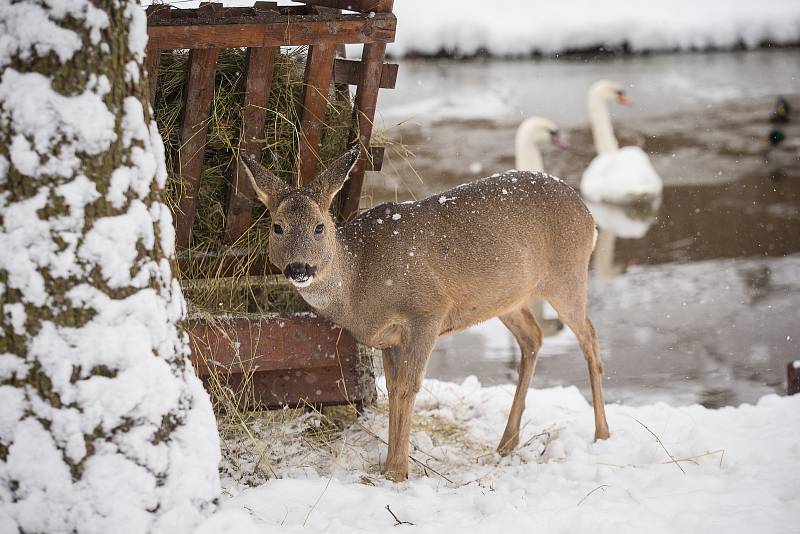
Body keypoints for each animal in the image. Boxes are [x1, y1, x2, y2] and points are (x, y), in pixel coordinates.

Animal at [241, 148, 608, 486]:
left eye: (320, 227)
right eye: (277, 227)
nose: (299, 268)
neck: (359, 282)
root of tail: (588, 213)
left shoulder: (428, 312)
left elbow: (408, 387)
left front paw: (397, 471)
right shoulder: (388, 338)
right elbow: (392, 388)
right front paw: (388, 465)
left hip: (567, 275)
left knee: (589, 335)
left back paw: (602, 433)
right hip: (507, 299)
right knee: (533, 337)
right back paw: (507, 442)